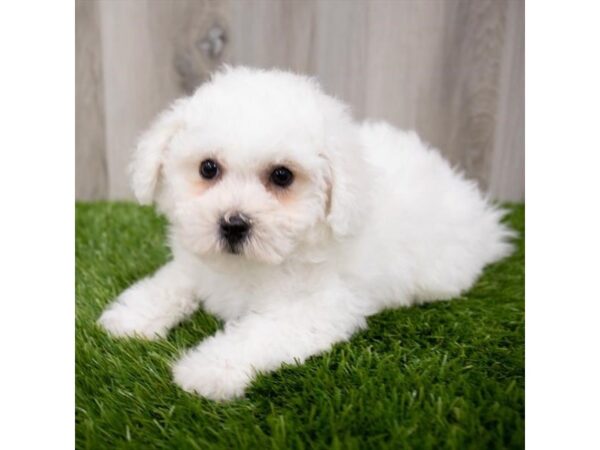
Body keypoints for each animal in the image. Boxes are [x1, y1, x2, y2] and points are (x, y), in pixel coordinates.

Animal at [97, 66, 510, 400]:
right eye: (208, 168)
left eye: (283, 176)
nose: (232, 224)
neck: (251, 263)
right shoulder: (198, 265)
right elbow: (170, 282)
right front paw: (131, 317)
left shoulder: (317, 308)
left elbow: (256, 334)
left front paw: (209, 369)